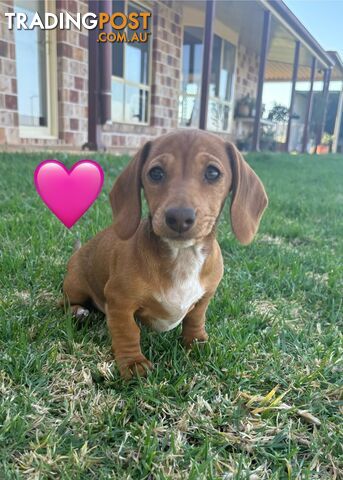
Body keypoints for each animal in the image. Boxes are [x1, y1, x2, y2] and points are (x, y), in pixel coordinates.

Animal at [62, 130, 268, 378]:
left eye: (213, 172)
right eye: (156, 173)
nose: (179, 217)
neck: (182, 255)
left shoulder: (206, 296)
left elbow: (196, 317)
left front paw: (196, 342)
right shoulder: (119, 301)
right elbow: (128, 331)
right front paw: (133, 363)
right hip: (75, 286)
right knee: (65, 303)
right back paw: (79, 312)